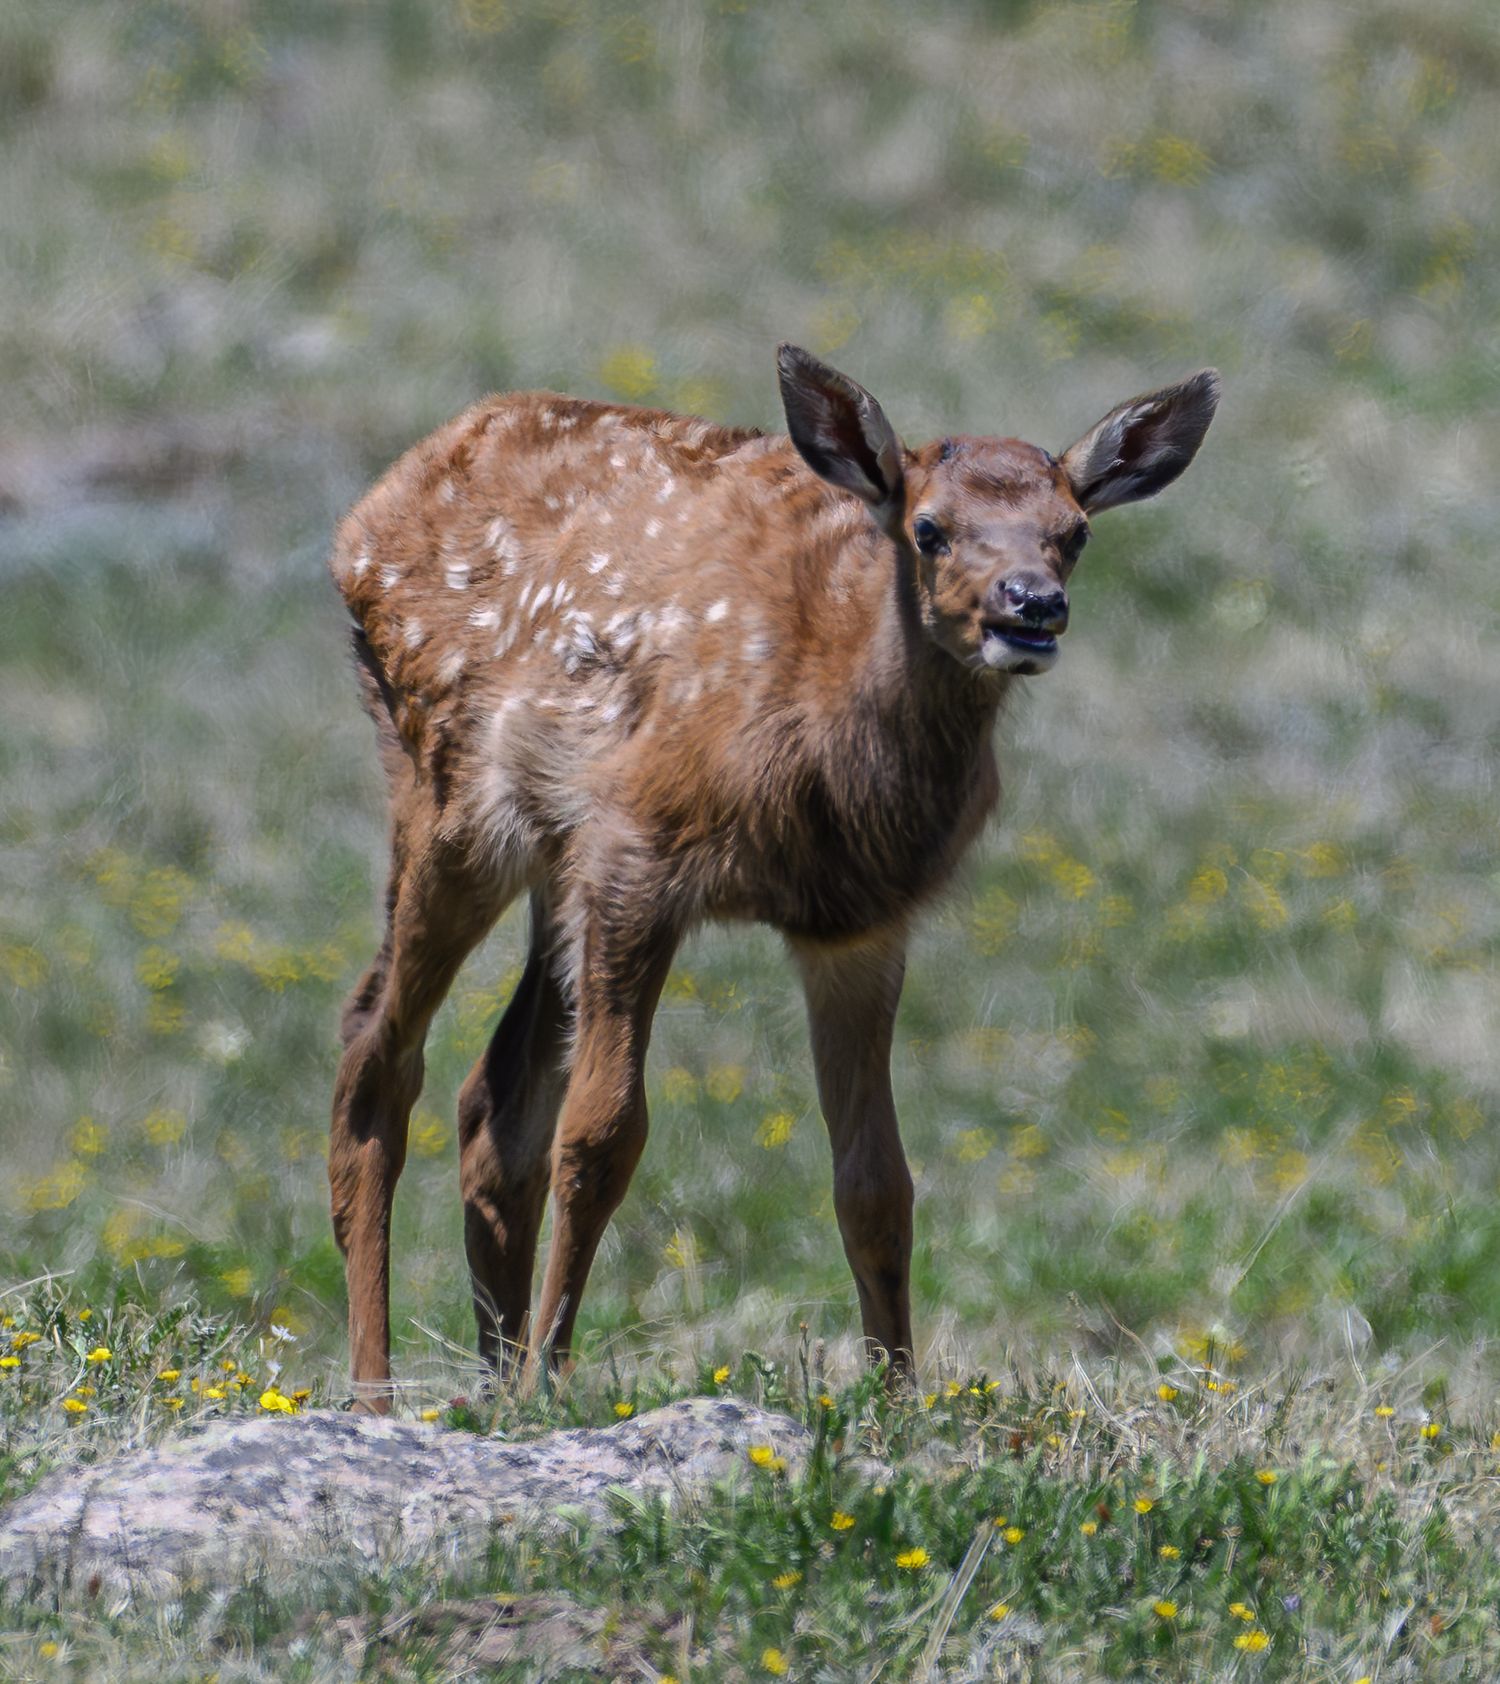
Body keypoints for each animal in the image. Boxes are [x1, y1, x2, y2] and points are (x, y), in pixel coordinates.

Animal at [327, 344, 1220, 1409]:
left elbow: (876, 1178)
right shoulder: (642, 850)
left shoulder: (858, 922)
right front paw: (554, 1375)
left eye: (1074, 532)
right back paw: (381, 1389)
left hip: (551, 853)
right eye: (929, 528)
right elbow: (603, 1131)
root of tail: (364, 518)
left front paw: (896, 1396)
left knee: (492, 1101)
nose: (1032, 606)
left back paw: (494, 1376)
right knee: (377, 1051)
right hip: (447, 795)